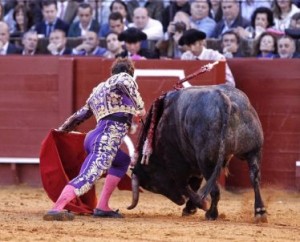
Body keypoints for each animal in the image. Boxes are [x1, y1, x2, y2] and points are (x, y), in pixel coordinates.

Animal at [128, 84, 268, 222]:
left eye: (152, 186)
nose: (180, 201)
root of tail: (224, 99)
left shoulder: (176, 166)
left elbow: (185, 185)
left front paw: (199, 205)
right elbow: (194, 184)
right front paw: (190, 208)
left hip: (207, 161)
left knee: (214, 189)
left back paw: (211, 214)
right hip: (254, 151)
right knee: (254, 177)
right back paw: (260, 211)